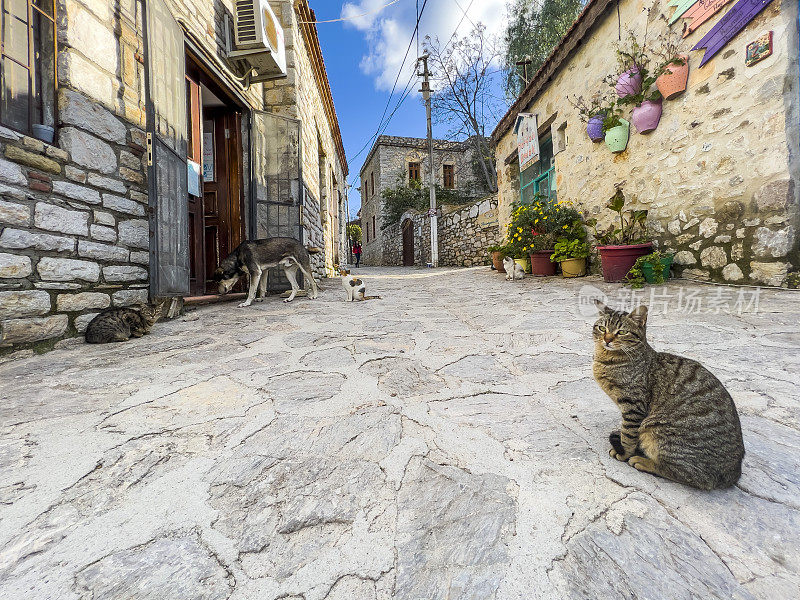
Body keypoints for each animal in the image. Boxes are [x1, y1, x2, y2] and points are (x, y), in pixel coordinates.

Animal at [592, 302, 744, 490]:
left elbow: (628, 434)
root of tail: (735, 471)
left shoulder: (633, 406)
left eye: (621, 332)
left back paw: (642, 461)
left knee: (692, 476)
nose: (607, 339)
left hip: (657, 429)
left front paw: (624, 452)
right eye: (602, 328)